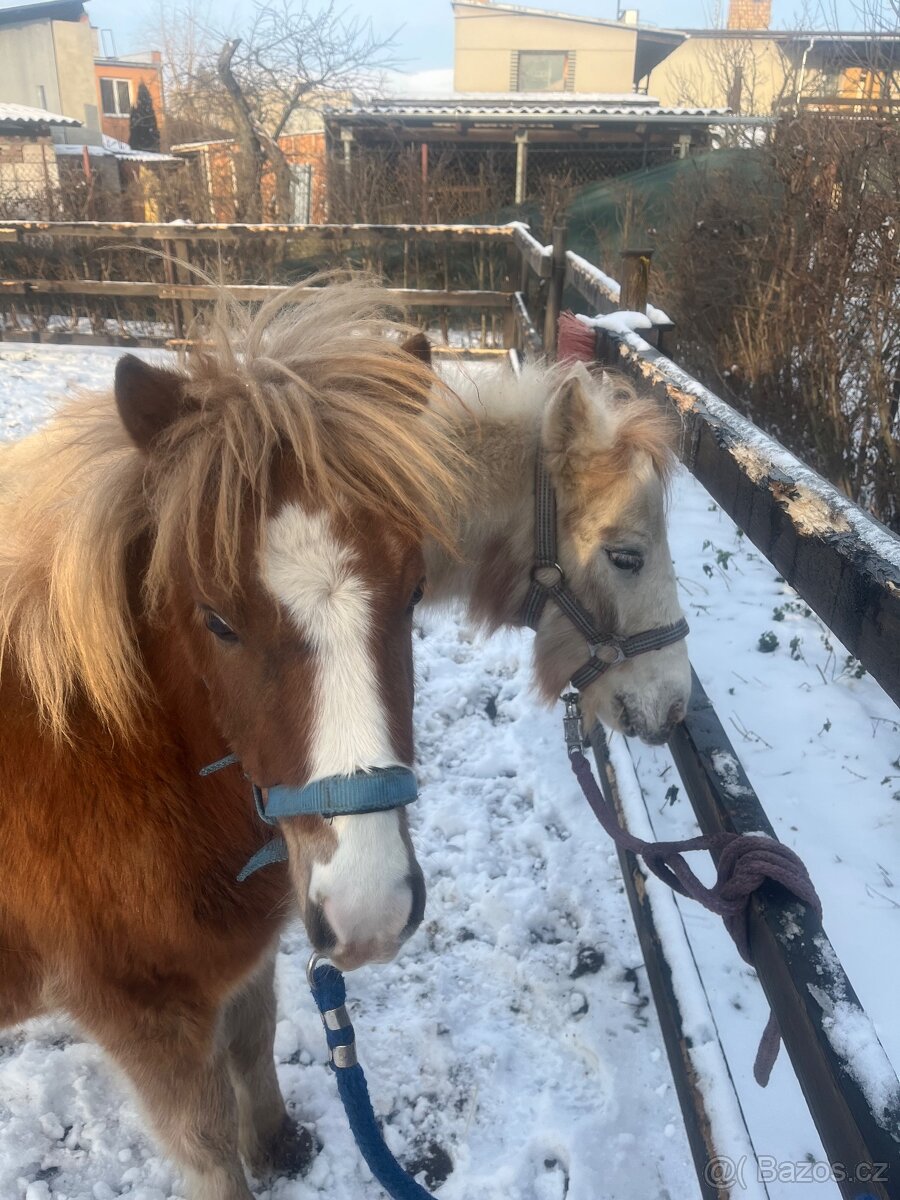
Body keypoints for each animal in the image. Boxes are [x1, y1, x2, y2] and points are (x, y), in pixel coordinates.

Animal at [0, 284, 469, 1200]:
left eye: (415, 591)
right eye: (216, 621)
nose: (369, 911)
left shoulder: (247, 955)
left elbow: (254, 1039)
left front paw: (280, 1142)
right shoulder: (146, 1017)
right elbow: (208, 1142)